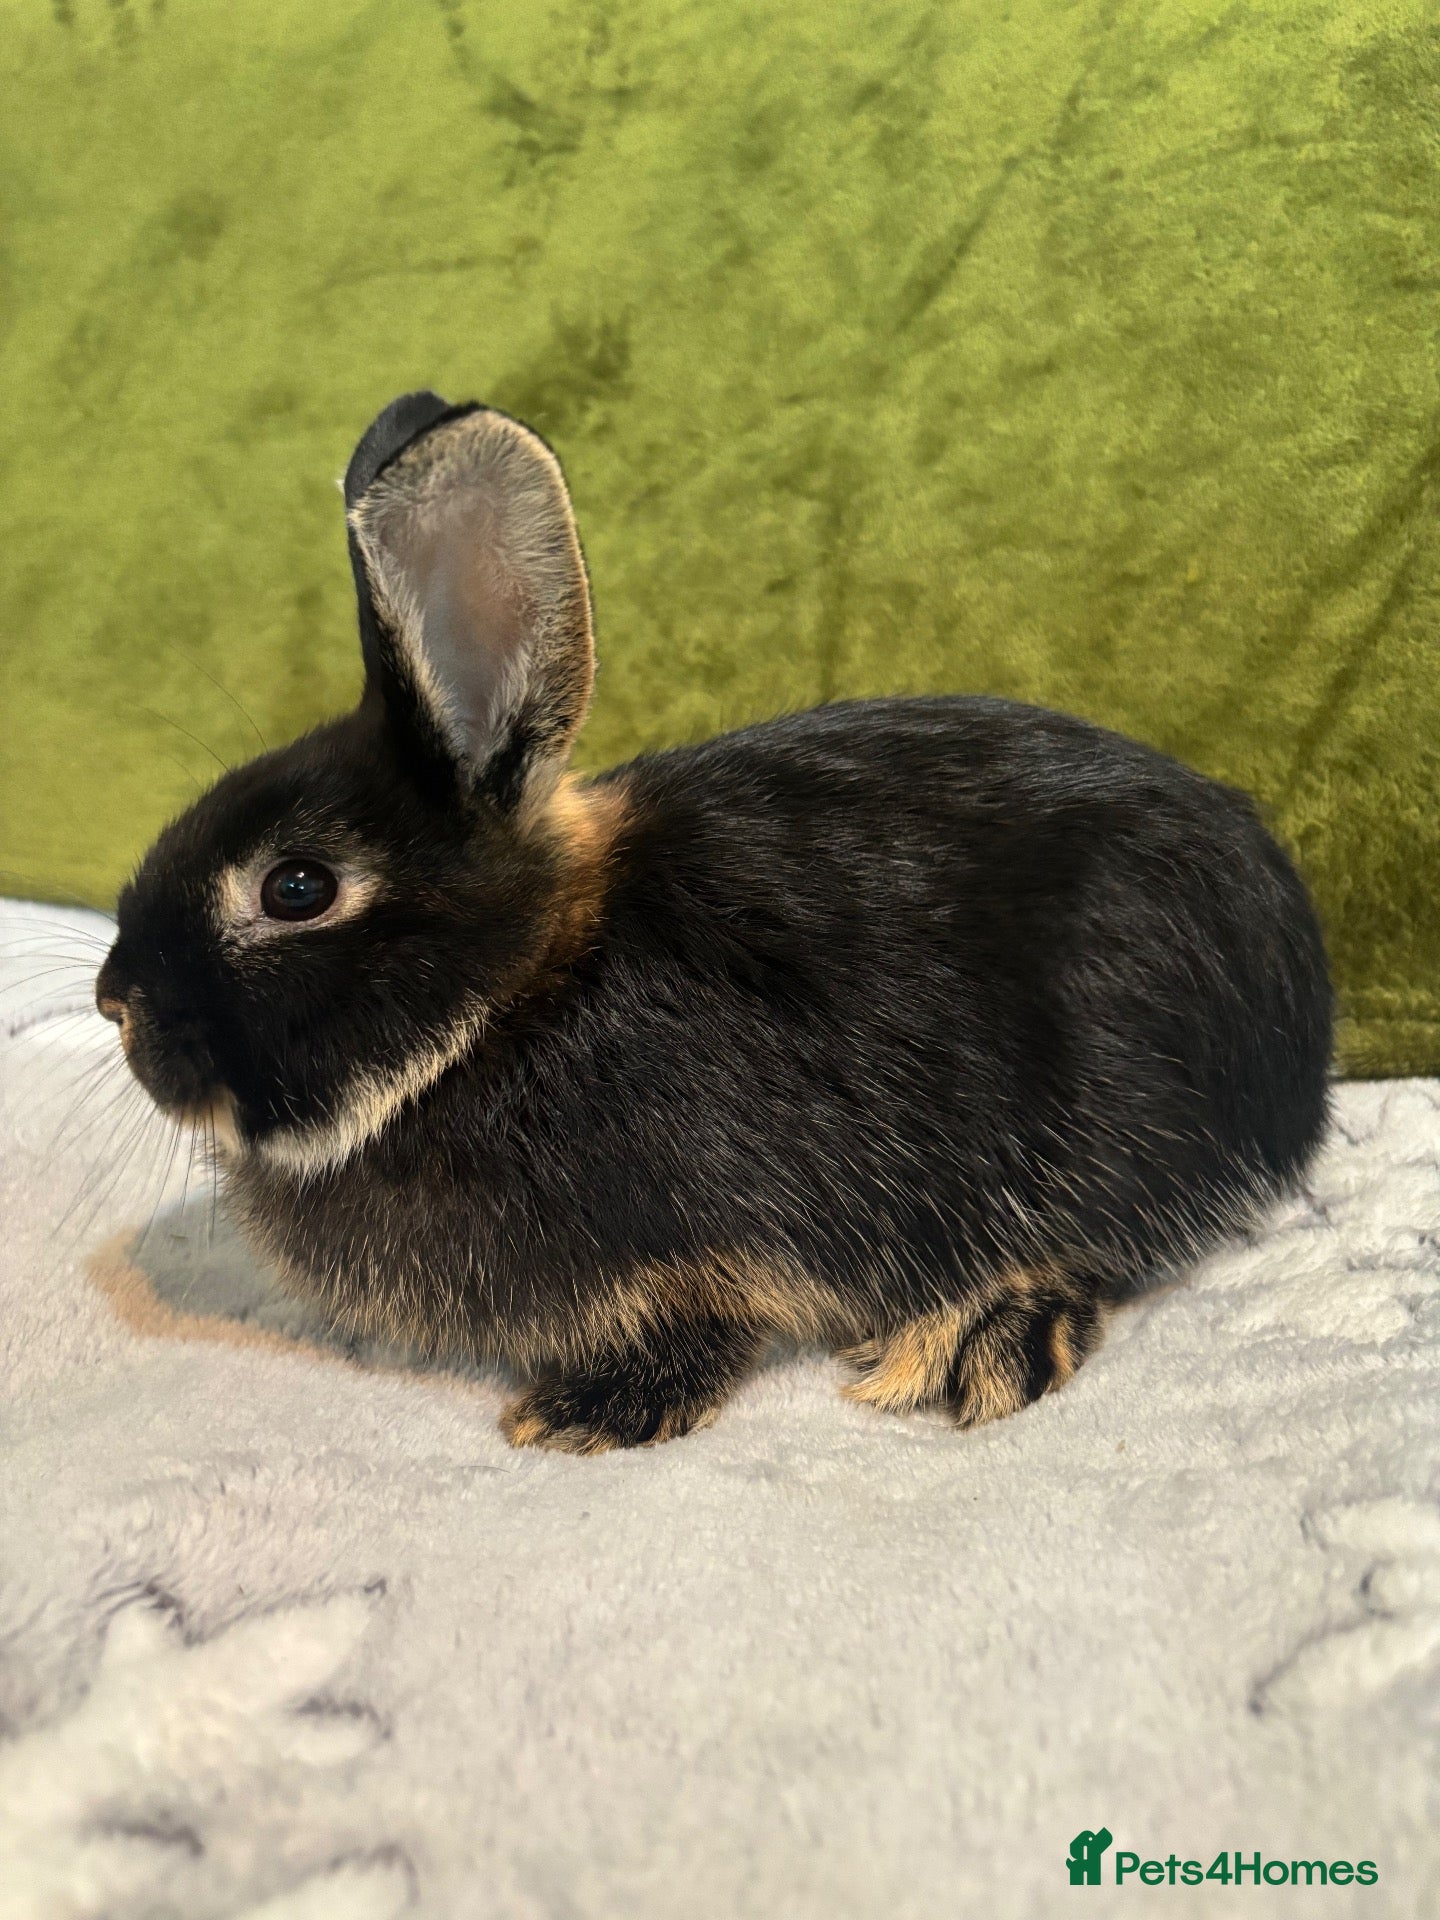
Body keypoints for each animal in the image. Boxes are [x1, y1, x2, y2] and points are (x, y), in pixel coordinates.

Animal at [95, 391, 1333, 1453]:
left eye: (296, 889)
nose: (116, 1002)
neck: (515, 998)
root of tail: (1298, 1008)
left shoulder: (703, 1251)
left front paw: (583, 1416)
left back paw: (975, 1334)